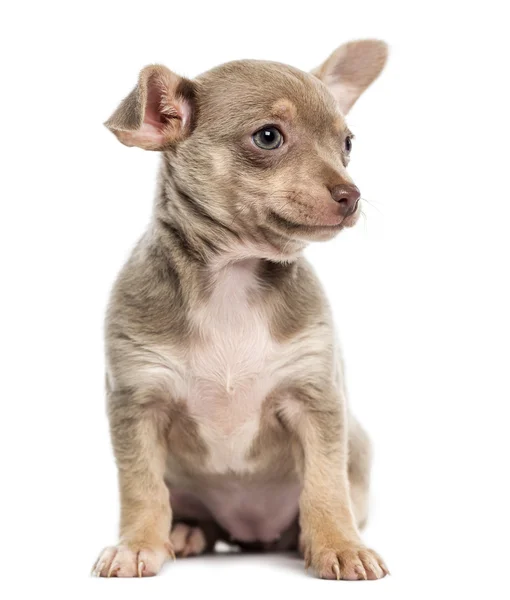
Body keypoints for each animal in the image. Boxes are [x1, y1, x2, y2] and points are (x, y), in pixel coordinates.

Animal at [91, 38, 388, 580]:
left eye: (348, 144)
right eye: (268, 137)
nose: (351, 194)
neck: (233, 275)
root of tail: (250, 534)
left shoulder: (316, 400)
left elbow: (325, 484)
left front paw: (340, 546)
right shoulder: (137, 403)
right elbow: (141, 487)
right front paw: (137, 544)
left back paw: (301, 539)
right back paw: (183, 533)